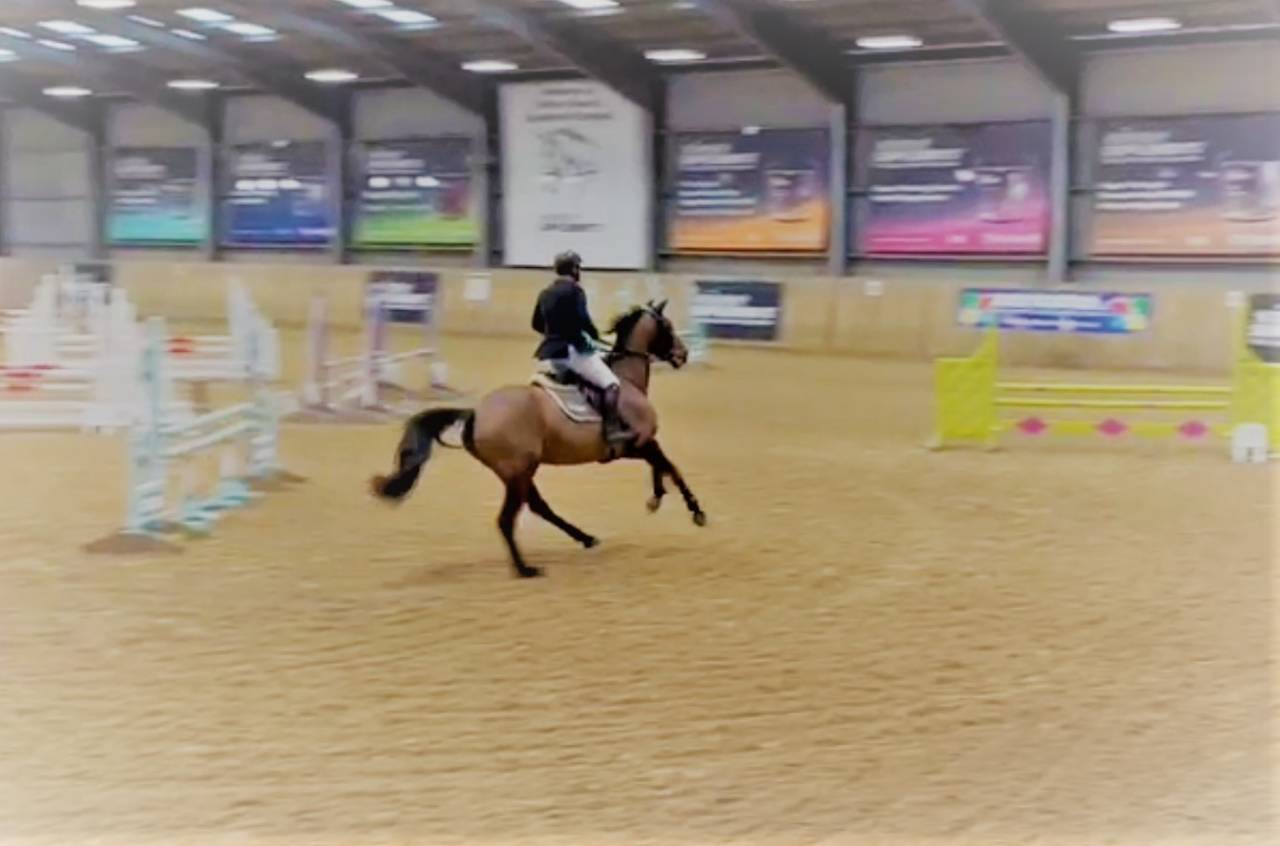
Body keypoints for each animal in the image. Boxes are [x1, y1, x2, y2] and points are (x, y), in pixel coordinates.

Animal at [369, 301, 707, 578]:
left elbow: (662, 465)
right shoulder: (637, 443)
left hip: (519, 471)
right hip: (518, 472)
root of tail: (477, 412)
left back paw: (585, 538)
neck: (626, 381)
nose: (683, 354)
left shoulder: (635, 447)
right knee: (507, 520)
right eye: (667, 327)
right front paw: (694, 510)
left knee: (538, 507)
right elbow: (671, 466)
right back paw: (526, 569)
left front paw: (657, 497)